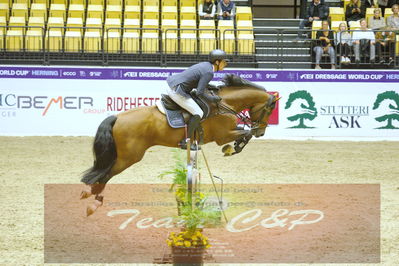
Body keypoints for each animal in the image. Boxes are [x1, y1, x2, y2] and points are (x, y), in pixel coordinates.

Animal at [80, 74, 282, 215]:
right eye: (270, 109)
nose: (262, 131)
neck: (225, 103)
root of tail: (117, 117)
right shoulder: (223, 135)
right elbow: (246, 133)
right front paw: (234, 147)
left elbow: (245, 132)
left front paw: (236, 145)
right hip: (129, 157)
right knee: (104, 175)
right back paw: (94, 200)